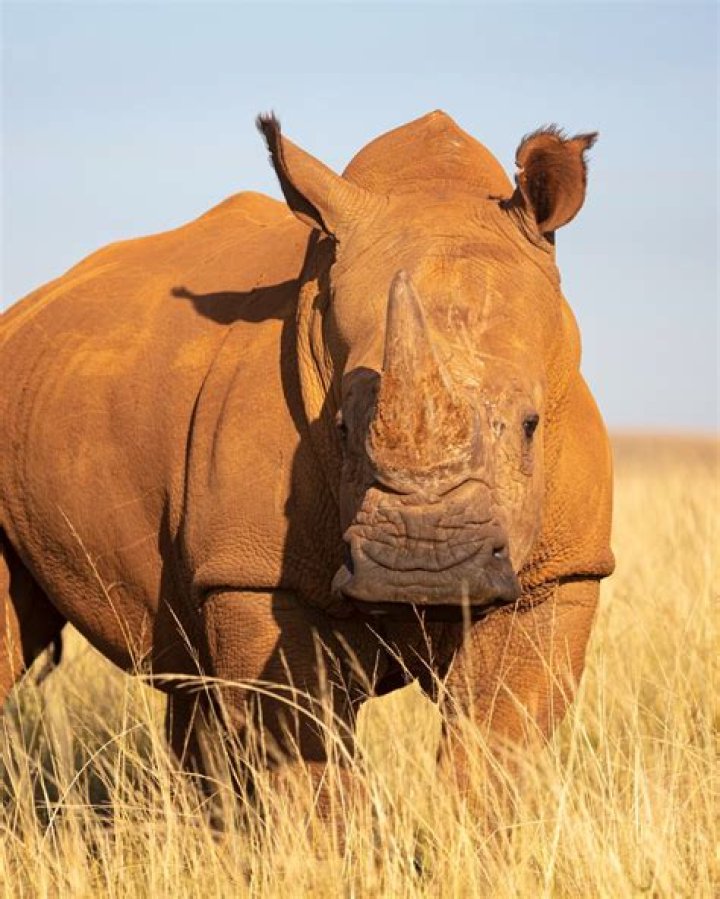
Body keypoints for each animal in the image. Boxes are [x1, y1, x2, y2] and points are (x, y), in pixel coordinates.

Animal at [0, 112, 614, 792]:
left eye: (532, 425)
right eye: (341, 429)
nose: (424, 570)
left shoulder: (561, 572)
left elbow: (495, 745)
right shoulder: (254, 575)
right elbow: (306, 764)